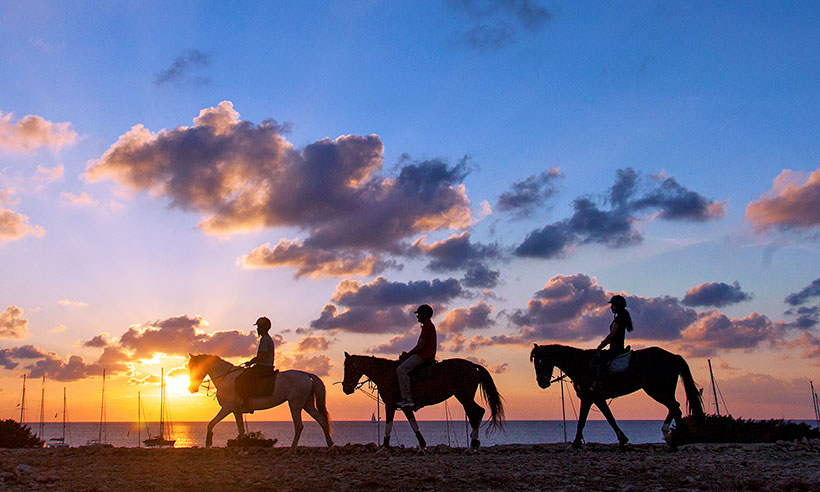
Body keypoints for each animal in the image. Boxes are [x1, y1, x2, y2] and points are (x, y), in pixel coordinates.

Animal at [188, 352, 334, 448]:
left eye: (194, 367)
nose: (191, 389)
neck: (226, 377)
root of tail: (306, 375)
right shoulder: (236, 411)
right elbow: (241, 431)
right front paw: (242, 448)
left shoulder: (227, 409)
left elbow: (211, 424)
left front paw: (208, 445)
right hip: (306, 404)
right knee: (321, 420)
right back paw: (330, 444)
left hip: (295, 405)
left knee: (299, 426)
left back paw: (292, 449)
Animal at [342, 354, 506, 450]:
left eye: (348, 368)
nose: (345, 388)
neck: (386, 373)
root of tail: (473, 366)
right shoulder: (403, 406)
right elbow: (413, 423)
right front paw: (422, 445)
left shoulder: (390, 405)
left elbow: (389, 424)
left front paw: (385, 446)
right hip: (465, 397)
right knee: (477, 413)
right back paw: (474, 442)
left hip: (464, 397)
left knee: (476, 413)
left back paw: (472, 444)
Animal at [532, 344, 704, 448]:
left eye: (541, 361)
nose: (541, 383)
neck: (581, 365)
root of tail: (673, 356)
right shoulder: (594, 398)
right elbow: (605, 418)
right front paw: (622, 439)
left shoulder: (590, 397)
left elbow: (586, 420)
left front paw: (575, 443)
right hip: (662, 390)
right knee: (675, 408)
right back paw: (674, 437)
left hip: (656, 390)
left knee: (675, 407)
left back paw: (677, 437)